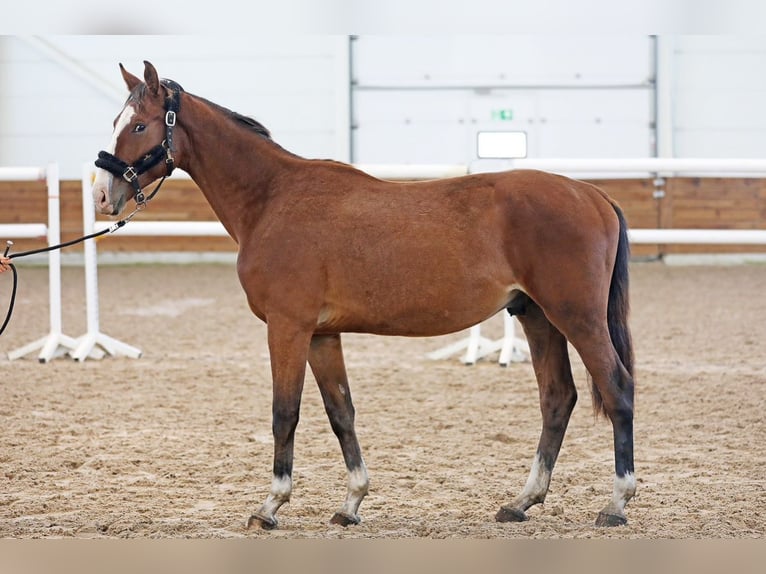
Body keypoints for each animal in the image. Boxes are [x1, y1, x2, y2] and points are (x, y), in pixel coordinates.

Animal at [92, 61, 636, 530]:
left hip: (577, 317)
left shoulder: (288, 328)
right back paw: (522, 501)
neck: (271, 198)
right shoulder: (321, 335)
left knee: (617, 389)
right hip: (538, 316)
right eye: (116, 122)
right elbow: (341, 414)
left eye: (138, 126)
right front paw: (351, 503)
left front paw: (270, 506)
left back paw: (616, 503)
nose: (101, 195)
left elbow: (285, 413)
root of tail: (592, 194)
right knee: (557, 398)